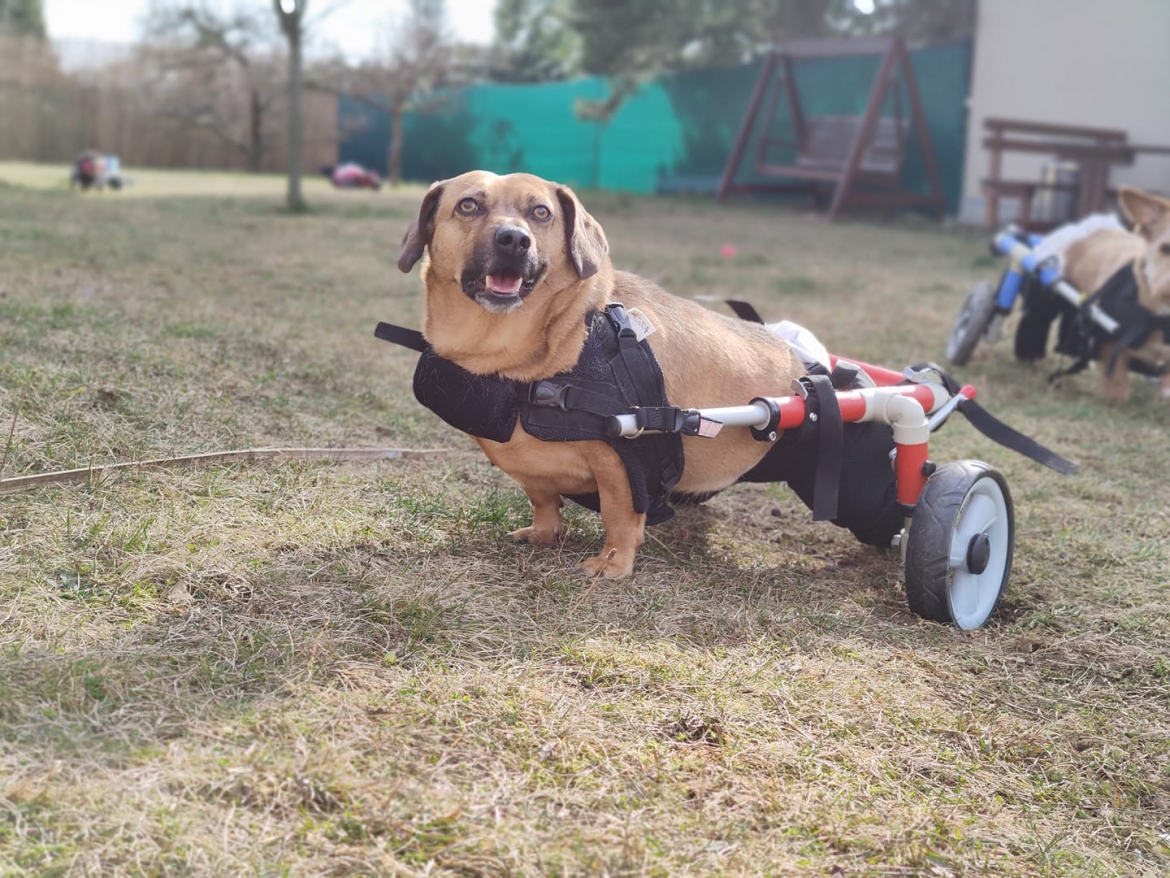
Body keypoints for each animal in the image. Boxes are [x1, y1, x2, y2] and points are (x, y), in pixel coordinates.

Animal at [397, 170, 809, 578]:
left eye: (541, 212)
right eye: (468, 205)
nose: (514, 239)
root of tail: (802, 361)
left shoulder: (622, 466)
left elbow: (618, 515)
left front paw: (612, 562)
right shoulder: (527, 468)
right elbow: (542, 498)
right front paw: (544, 532)